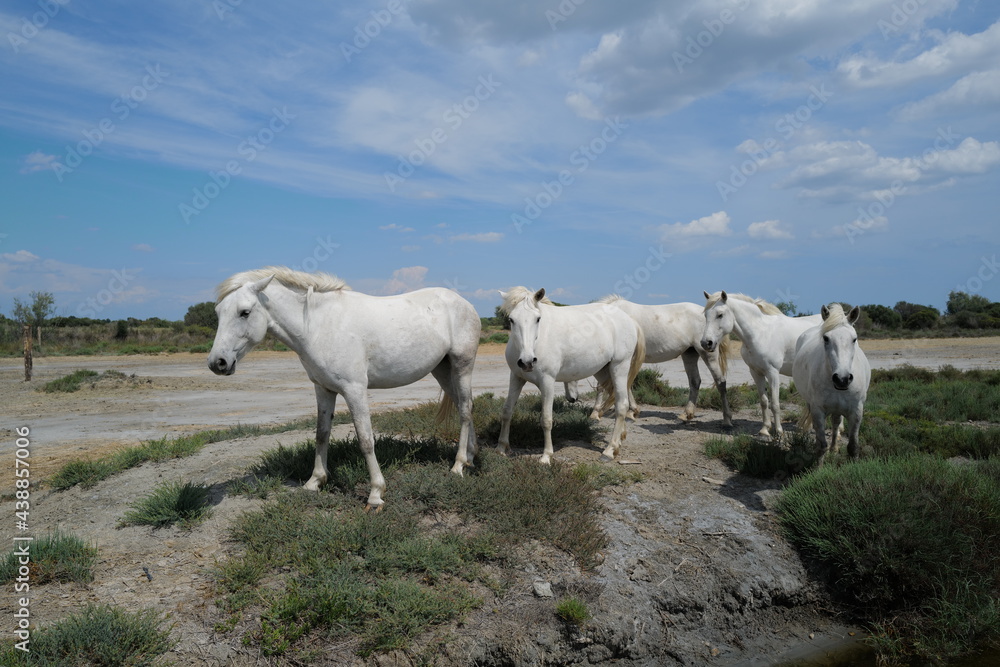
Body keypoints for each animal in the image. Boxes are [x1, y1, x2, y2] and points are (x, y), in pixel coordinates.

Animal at [207, 267, 480, 510]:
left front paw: (375, 494)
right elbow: (321, 434)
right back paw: (470, 458)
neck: (318, 326)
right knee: (463, 406)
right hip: (442, 370)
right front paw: (314, 482)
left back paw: (458, 466)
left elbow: (365, 439)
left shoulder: (354, 390)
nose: (217, 363)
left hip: (462, 366)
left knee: (465, 410)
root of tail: (464, 303)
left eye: (244, 312)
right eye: (218, 312)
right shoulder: (323, 389)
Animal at [498, 287, 645, 463]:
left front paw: (546, 456)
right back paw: (619, 441)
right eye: (511, 319)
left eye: (538, 319)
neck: (537, 341)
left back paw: (609, 451)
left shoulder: (547, 382)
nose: (527, 362)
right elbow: (507, 411)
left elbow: (546, 419)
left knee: (621, 405)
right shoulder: (516, 377)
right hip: (603, 371)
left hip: (619, 367)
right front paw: (502, 448)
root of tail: (629, 319)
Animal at [567, 296, 735, 428]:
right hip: (689, 354)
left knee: (720, 382)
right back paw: (686, 415)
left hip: (707, 353)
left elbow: (606, 386)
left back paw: (727, 420)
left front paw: (597, 413)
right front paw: (631, 411)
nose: (572, 399)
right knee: (695, 381)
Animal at [701, 291, 822, 440]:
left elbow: (775, 404)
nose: (706, 343)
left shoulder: (773, 373)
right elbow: (764, 402)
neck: (760, 334)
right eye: (706, 315)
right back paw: (807, 429)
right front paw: (764, 430)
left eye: (720, 315)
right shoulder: (756, 372)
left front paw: (779, 432)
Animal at [793, 303, 871, 464]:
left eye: (854, 339)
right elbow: (821, 445)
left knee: (836, 423)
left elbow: (853, 446)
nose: (842, 379)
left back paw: (834, 448)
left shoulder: (856, 411)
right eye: (826, 338)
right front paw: (818, 467)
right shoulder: (818, 410)